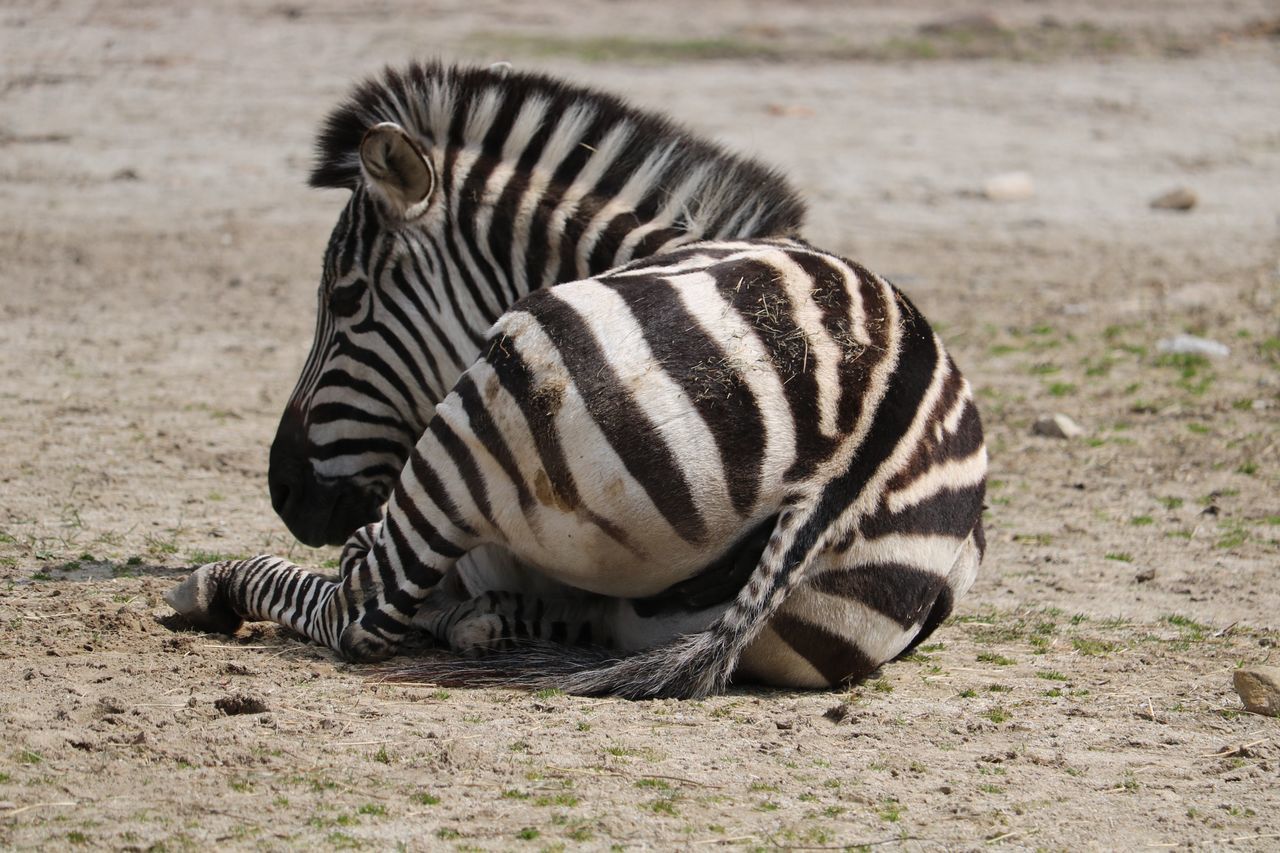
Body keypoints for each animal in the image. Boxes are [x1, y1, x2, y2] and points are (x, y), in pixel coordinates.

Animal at [167, 235, 988, 696]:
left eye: (346, 301)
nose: (287, 494)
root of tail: (857, 443)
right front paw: (479, 620)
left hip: (493, 402)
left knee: (360, 612)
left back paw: (215, 586)